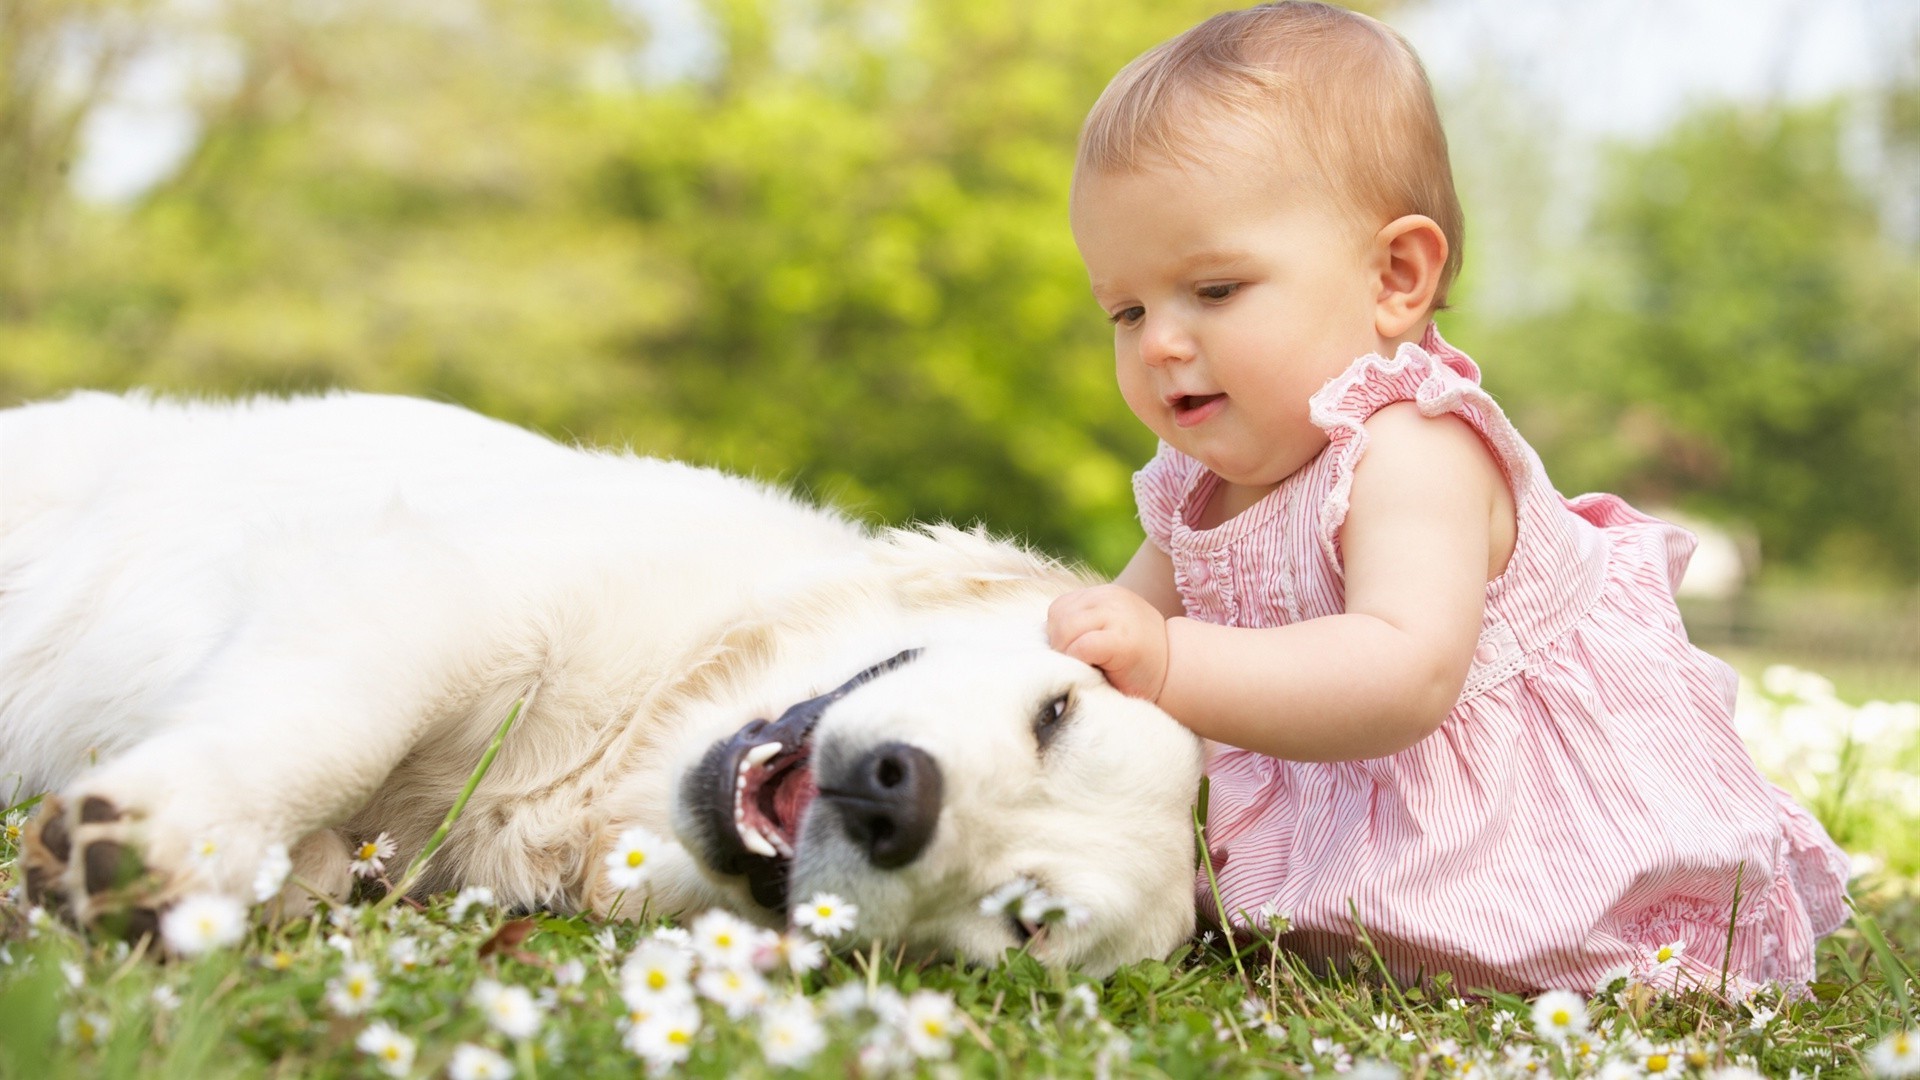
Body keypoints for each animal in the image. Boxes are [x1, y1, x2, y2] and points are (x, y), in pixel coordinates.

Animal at [0, 390, 1198, 972]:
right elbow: (335, 730)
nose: (897, 801)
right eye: (1057, 713)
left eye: (1026, 922)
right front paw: (168, 838)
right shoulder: (442, 590)